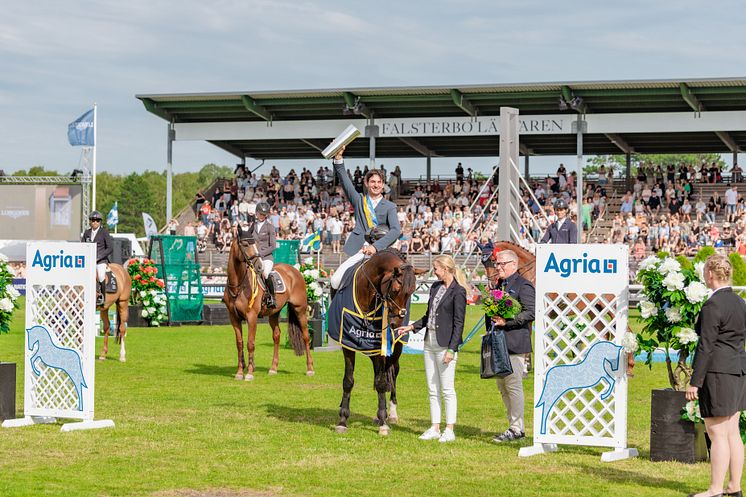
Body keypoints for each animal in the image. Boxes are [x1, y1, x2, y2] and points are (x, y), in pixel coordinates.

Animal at [222, 222, 312, 380]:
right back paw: (273, 369)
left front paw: (249, 373)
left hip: (300, 309)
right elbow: (239, 343)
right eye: (245, 244)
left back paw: (310, 369)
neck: (238, 285)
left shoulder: (251, 316)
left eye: (255, 243)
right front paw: (239, 373)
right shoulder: (234, 317)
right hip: (274, 313)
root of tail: (295, 271)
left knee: (306, 337)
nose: (259, 267)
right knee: (276, 336)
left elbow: (250, 343)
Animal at [334, 250, 422, 436]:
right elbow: (348, 380)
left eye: (412, 292)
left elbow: (382, 383)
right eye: (395, 289)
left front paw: (383, 422)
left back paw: (391, 414)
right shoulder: (348, 345)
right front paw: (343, 420)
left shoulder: (381, 350)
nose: (397, 324)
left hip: (395, 351)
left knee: (392, 375)